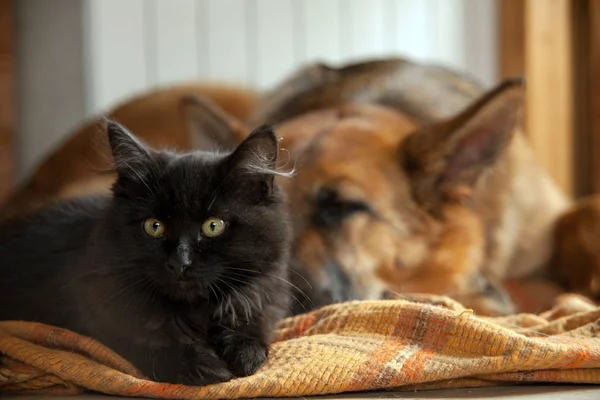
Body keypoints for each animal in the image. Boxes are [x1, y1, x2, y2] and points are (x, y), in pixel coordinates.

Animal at [0, 120, 290, 386]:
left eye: (213, 226)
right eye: (154, 226)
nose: (179, 262)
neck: (194, 313)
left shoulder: (261, 302)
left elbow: (253, 326)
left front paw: (245, 353)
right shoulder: (98, 317)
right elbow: (146, 344)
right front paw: (203, 367)